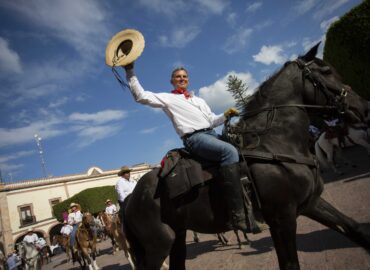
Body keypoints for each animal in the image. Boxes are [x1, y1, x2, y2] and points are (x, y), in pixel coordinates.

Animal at [122, 42, 370, 270]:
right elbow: (290, 264)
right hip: (158, 245)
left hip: (177, 238)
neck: (275, 144)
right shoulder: (282, 218)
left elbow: (356, 229)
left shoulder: (311, 203)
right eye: (326, 71)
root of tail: (131, 198)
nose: (363, 106)